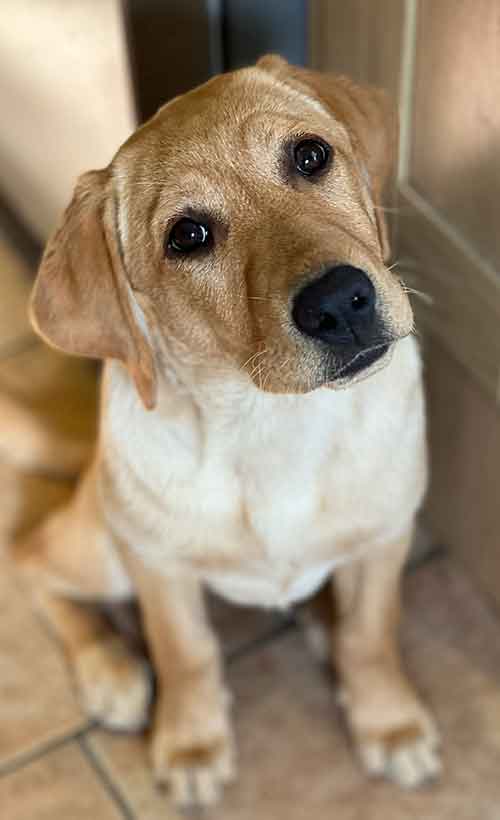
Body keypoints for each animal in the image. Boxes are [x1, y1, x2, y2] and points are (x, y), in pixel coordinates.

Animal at [13, 56, 440, 808]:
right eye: (188, 236)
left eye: (310, 156)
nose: (339, 302)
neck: (273, 422)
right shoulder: (158, 567)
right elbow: (186, 653)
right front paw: (191, 743)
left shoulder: (387, 535)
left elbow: (372, 634)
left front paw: (387, 722)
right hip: (101, 546)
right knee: (30, 561)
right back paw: (107, 668)